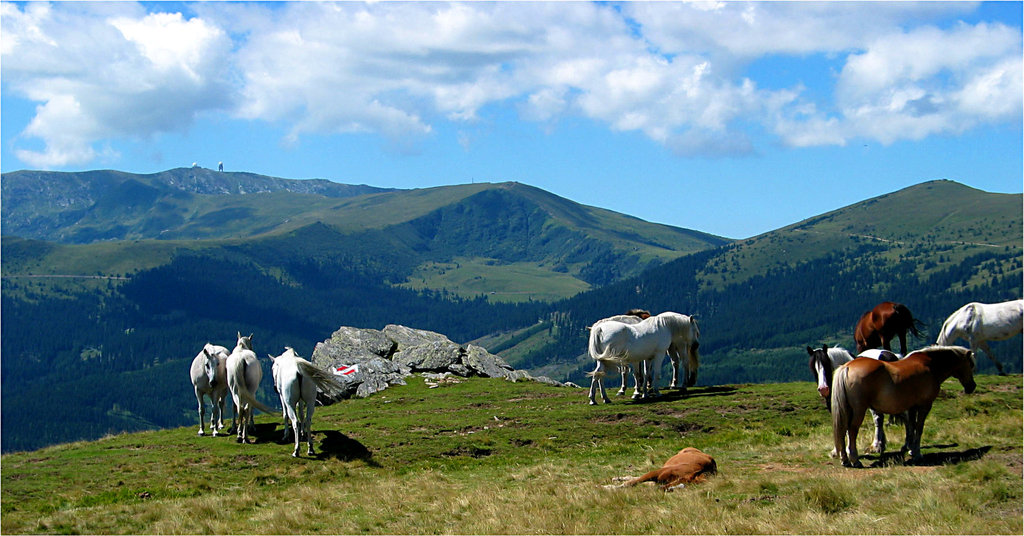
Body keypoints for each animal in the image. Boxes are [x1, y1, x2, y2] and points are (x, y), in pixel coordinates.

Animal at [827, 346, 970, 467]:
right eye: (971, 364)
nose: (971, 386)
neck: (930, 366)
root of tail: (847, 367)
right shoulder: (924, 406)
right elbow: (919, 428)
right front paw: (917, 453)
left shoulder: (912, 407)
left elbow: (911, 426)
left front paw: (911, 449)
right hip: (858, 410)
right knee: (852, 430)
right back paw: (855, 460)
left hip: (847, 410)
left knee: (843, 429)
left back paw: (845, 459)